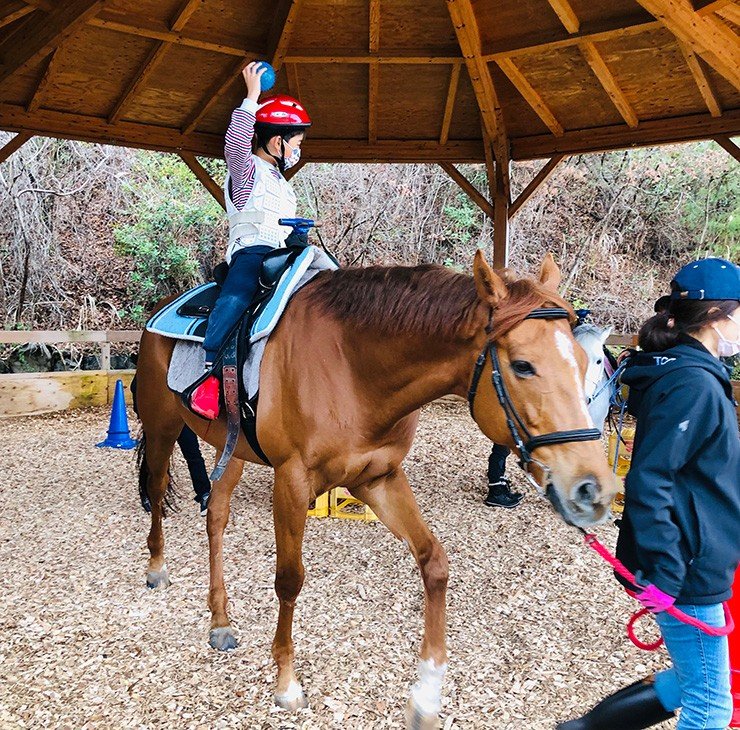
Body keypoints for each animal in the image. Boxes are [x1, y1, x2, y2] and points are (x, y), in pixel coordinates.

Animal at [134, 252, 620, 728]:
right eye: (522, 365)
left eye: (586, 364)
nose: (592, 488)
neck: (352, 367)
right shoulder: (291, 480)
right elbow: (290, 579)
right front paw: (287, 682)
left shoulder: (378, 478)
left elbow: (434, 561)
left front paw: (426, 694)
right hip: (163, 425)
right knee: (157, 492)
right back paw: (157, 567)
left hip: (230, 448)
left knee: (216, 515)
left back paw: (219, 620)